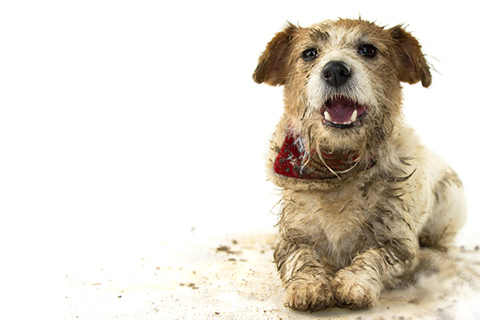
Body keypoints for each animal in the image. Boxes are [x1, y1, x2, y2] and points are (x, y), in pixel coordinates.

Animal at [253, 18, 466, 312]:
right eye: (309, 53)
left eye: (368, 49)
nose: (335, 70)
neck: (339, 169)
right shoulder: (290, 239)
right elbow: (301, 257)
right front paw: (308, 285)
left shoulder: (400, 245)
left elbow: (374, 256)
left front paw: (355, 283)